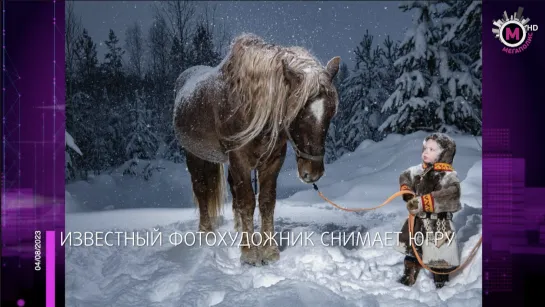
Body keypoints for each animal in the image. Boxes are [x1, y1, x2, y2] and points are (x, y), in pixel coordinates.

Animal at [172, 33, 338, 264]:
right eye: (298, 113)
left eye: (330, 113)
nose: (313, 172)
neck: (250, 105)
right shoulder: (238, 158)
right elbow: (247, 201)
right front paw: (249, 252)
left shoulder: (273, 159)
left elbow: (266, 201)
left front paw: (269, 251)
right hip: (194, 155)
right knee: (202, 189)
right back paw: (206, 232)